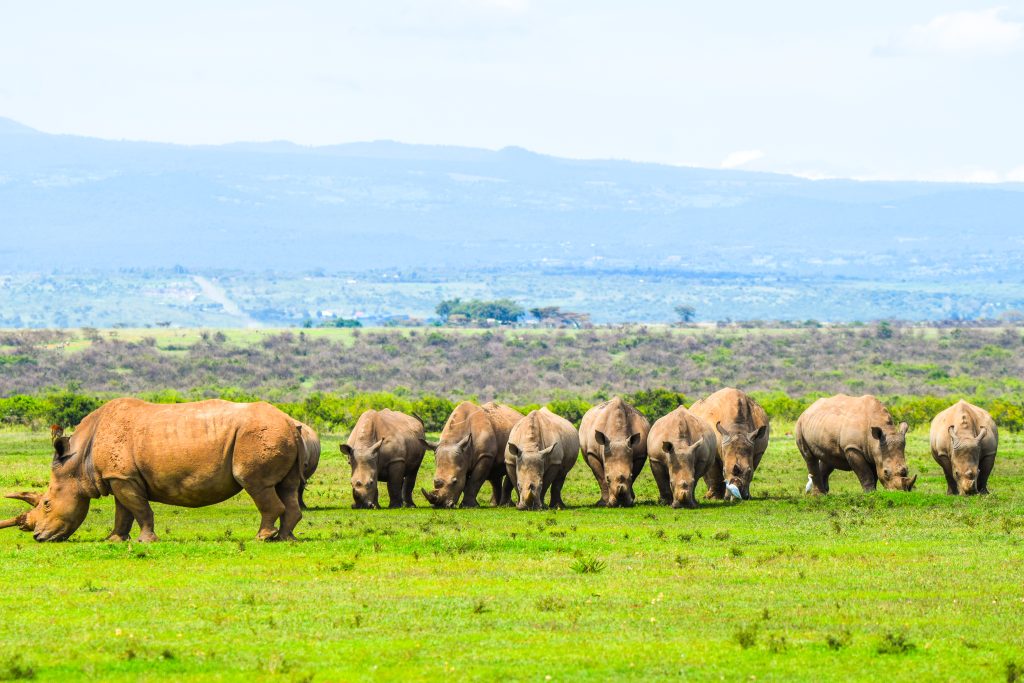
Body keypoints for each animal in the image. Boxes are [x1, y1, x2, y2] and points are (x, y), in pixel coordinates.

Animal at [0, 398, 319, 542]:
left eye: (46, 503)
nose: (38, 537)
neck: (79, 461)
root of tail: (291, 422)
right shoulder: (118, 477)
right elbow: (123, 512)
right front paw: (114, 540)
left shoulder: (123, 478)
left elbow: (140, 510)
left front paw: (145, 541)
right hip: (280, 434)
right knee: (287, 487)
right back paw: (286, 538)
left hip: (259, 436)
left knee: (257, 485)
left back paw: (262, 537)